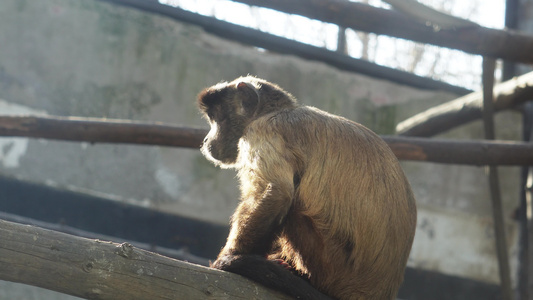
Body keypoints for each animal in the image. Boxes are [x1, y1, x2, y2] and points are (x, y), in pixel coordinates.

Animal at [195, 75, 416, 300]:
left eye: (215, 118)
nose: (206, 139)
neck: (275, 112)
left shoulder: (261, 130)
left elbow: (278, 192)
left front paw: (230, 259)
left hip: (330, 266)